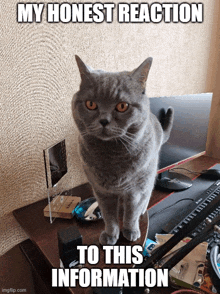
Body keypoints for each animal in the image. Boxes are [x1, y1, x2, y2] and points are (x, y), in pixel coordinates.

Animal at [72, 55, 174, 246]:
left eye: (122, 106)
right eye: (91, 104)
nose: (104, 121)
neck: (112, 157)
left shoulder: (134, 191)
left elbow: (131, 213)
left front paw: (130, 231)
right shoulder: (101, 191)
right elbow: (109, 217)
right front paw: (110, 235)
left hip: (149, 173)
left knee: (148, 192)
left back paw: (142, 210)